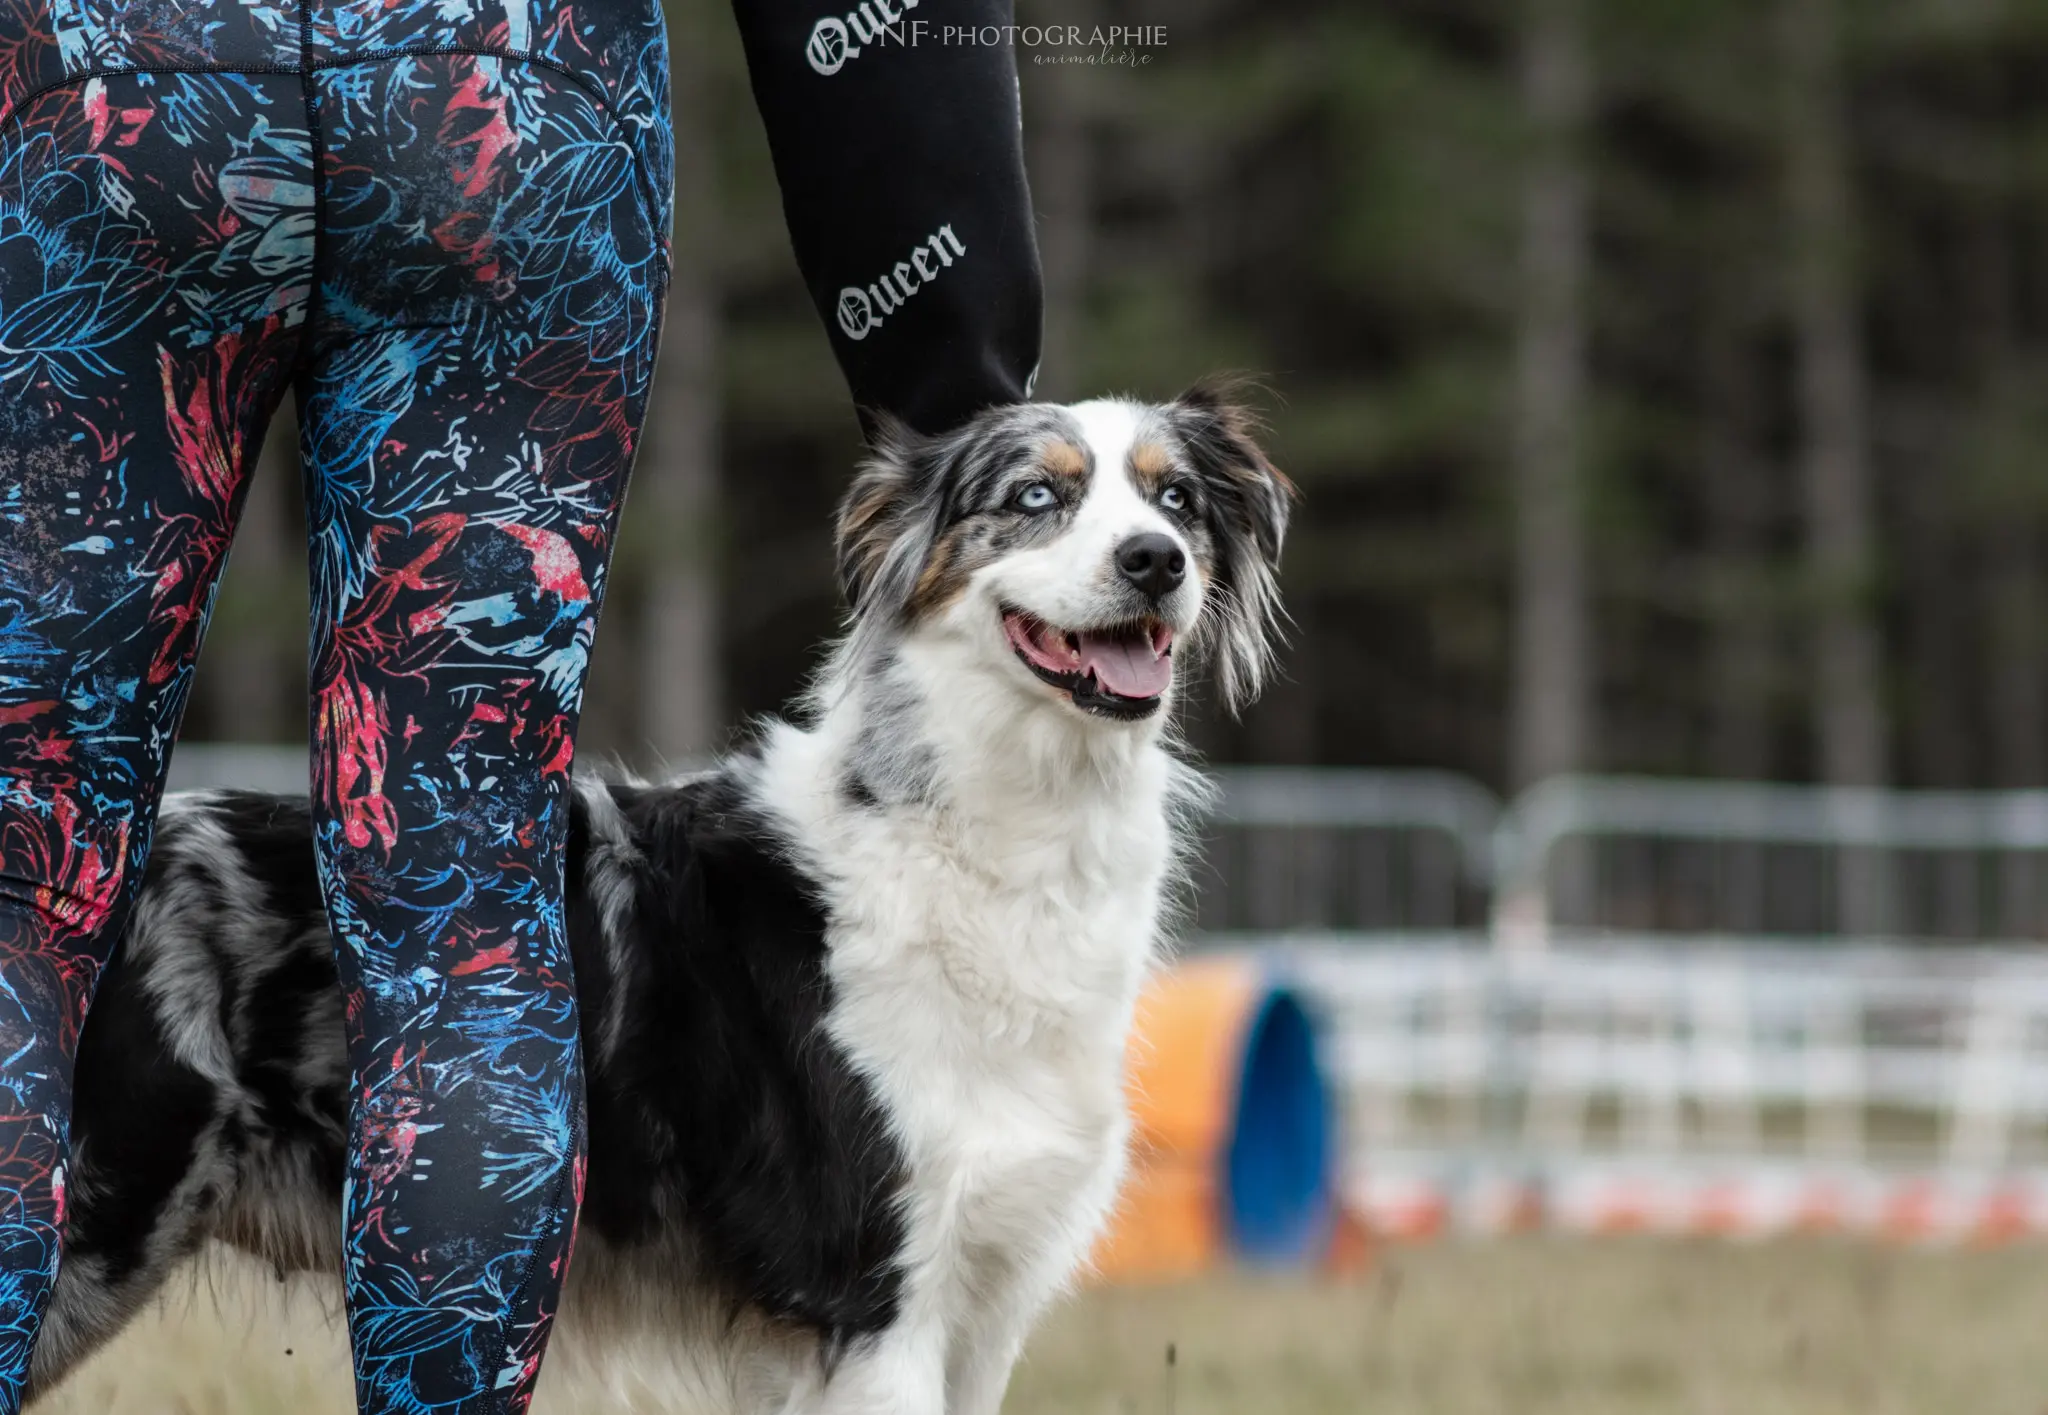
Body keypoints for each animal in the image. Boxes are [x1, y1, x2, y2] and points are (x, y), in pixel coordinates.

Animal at [19, 382, 1294, 1408]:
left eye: (1175, 499)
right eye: (1038, 496)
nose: (1154, 561)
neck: (981, 832)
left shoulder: (979, 1299)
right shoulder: (873, 1293)